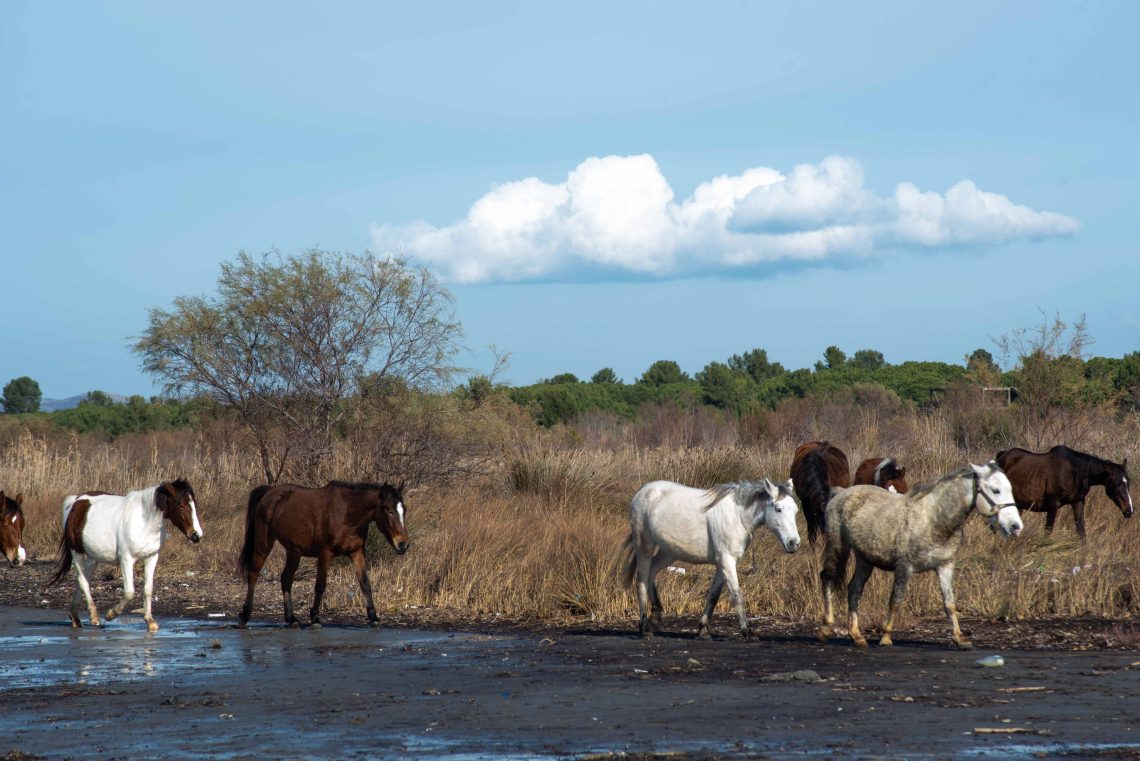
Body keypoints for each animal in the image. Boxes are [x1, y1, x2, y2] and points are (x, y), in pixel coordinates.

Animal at [50, 478, 202, 633]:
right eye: (181, 505)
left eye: (194, 505)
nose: (196, 535)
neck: (144, 521)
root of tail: (75, 502)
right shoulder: (126, 559)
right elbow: (129, 592)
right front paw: (111, 614)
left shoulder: (151, 558)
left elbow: (148, 589)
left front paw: (150, 621)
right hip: (77, 553)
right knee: (82, 581)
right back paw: (94, 616)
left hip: (93, 558)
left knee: (80, 581)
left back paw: (75, 618)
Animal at [237, 478, 410, 628]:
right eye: (389, 510)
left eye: (404, 510)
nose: (404, 544)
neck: (347, 513)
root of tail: (270, 492)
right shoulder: (325, 553)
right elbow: (320, 585)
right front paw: (315, 618)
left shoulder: (356, 553)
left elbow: (365, 584)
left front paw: (373, 617)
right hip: (264, 543)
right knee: (253, 574)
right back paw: (245, 615)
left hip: (293, 551)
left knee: (286, 579)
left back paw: (291, 619)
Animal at [624, 478, 802, 637]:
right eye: (778, 509)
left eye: (795, 510)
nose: (794, 543)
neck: (738, 516)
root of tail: (642, 491)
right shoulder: (727, 561)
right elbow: (737, 596)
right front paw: (747, 632)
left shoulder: (723, 563)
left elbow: (714, 596)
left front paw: (703, 630)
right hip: (644, 548)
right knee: (641, 581)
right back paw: (645, 627)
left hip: (669, 553)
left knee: (651, 574)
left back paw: (655, 616)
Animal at [998, 442, 1130, 537]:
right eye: (1117, 484)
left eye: (1128, 483)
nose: (1129, 510)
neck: (1074, 472)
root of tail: (1002, 456)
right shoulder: (1053, 506)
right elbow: (1048, 532)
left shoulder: (1078, 502)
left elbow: (1081, 532)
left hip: (1018, 505)